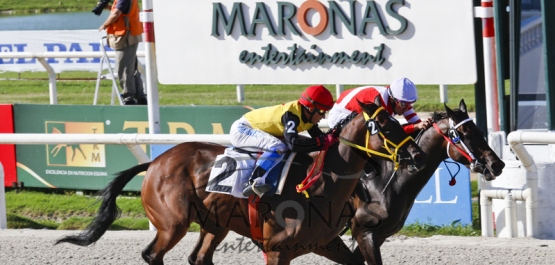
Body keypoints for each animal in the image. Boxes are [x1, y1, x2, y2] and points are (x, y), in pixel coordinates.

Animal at [56, 101, 428, 264]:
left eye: (399, 121)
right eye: (386, 126)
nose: (418, 155)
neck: (320, 186)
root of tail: (157, 162)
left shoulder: (327, 243)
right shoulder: (277, 250)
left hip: (214, 224)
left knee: (198, 258)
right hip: (172, 223)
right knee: (153, 254)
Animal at [352, 98, 508, 262]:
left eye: (480, 132)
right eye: (465, 134)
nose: (497, 164)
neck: (384, 181)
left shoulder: (380, 235)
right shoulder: (365, 232)